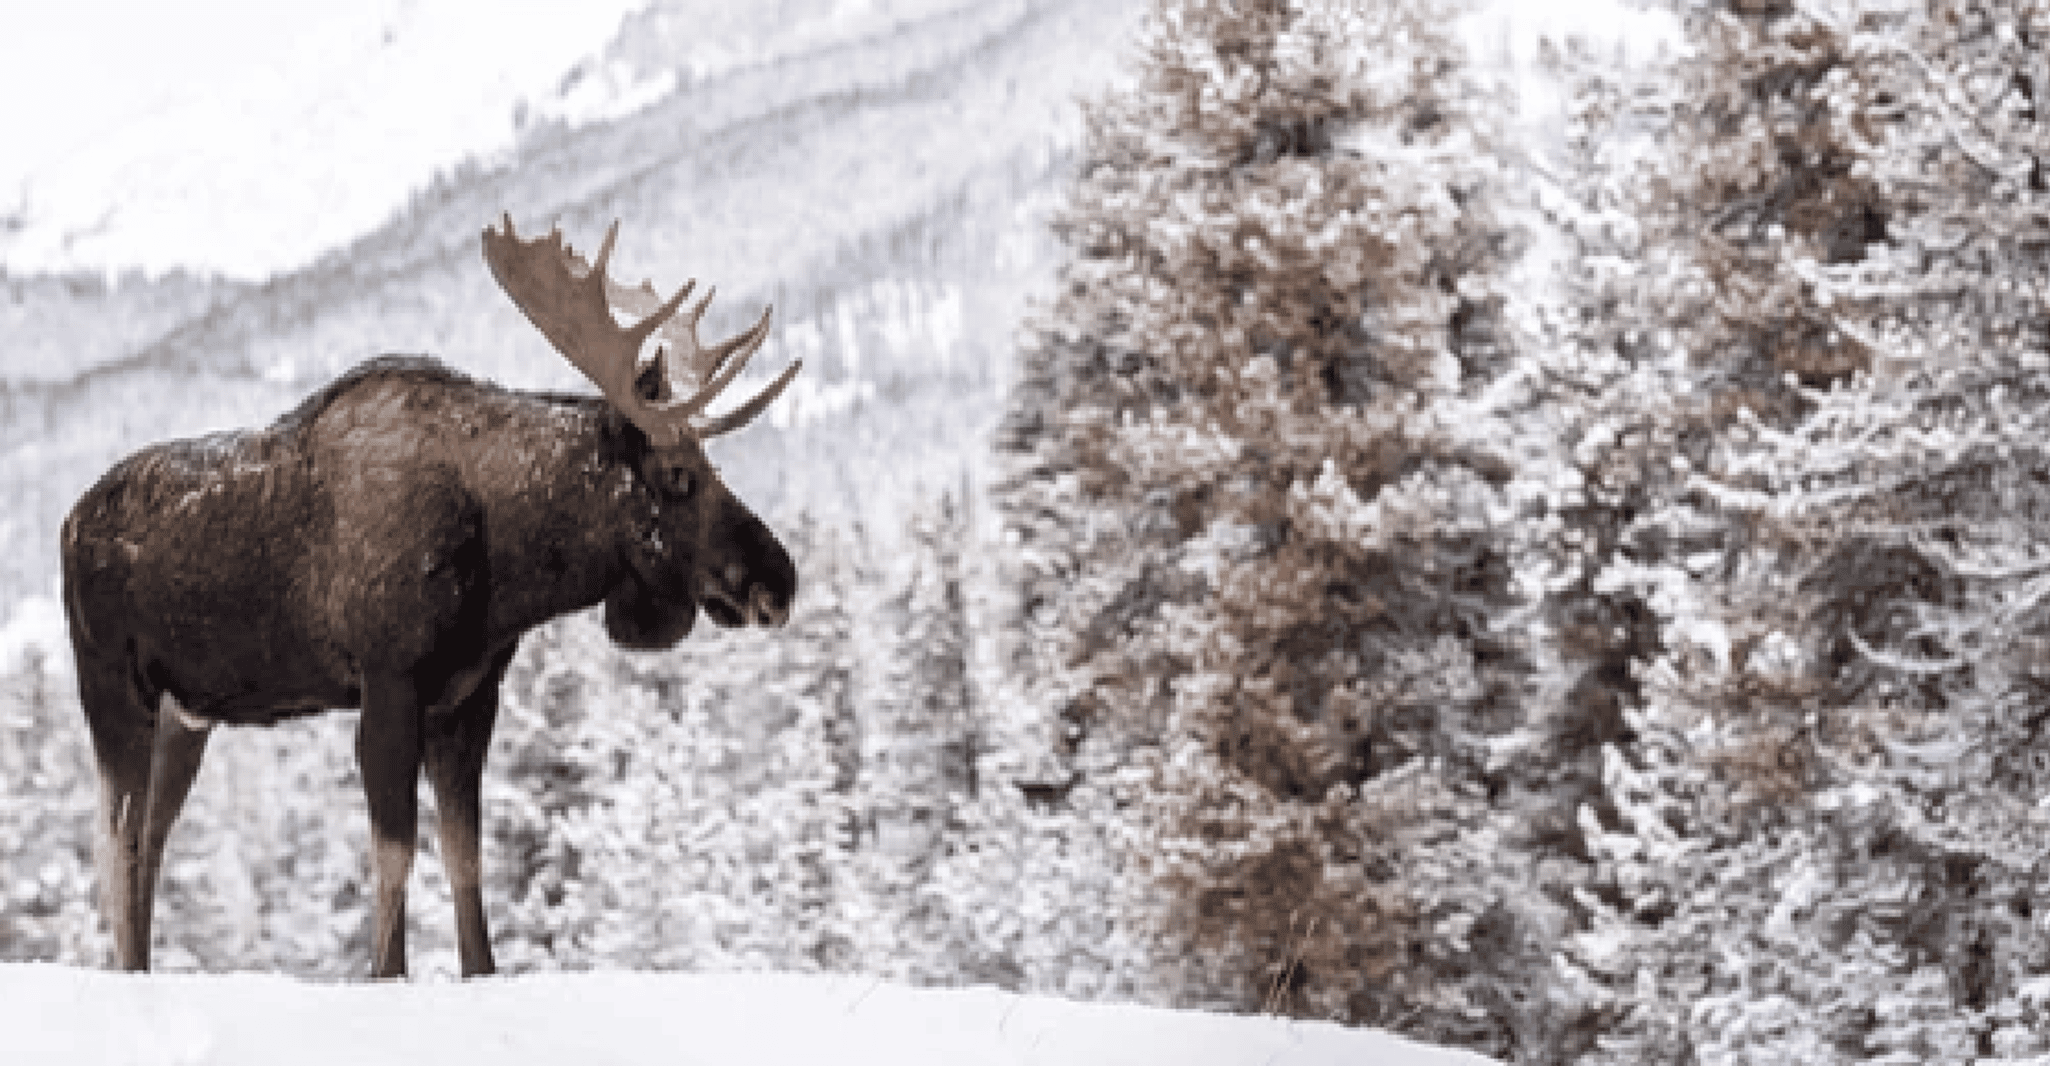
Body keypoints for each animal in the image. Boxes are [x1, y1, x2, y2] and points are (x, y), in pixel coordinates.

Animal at [60, 215, 799, 979]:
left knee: (150, 836)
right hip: (113, 686)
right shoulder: (390, 682)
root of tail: (70, 522)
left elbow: (464, 854)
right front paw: (385, 972)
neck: (505, 563)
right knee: (116, 839)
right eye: (678, 475)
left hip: (187, 715)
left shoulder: (468, 695)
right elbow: (395, 856)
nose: (778, 579)